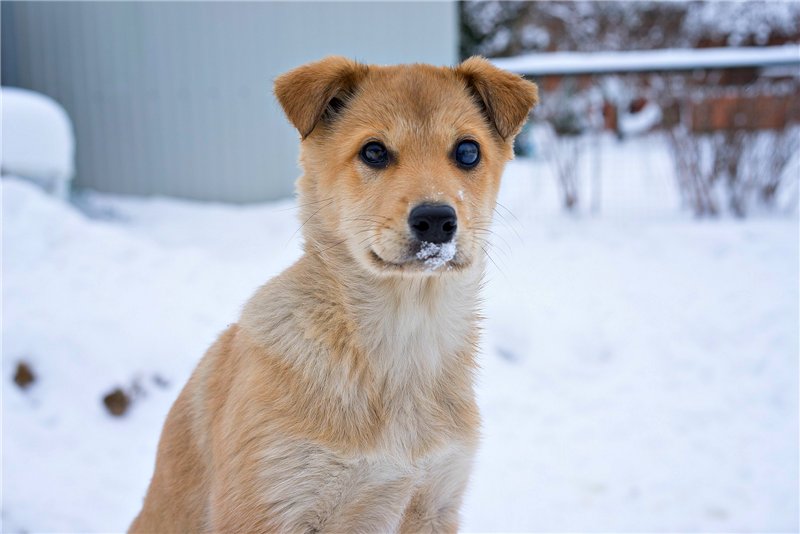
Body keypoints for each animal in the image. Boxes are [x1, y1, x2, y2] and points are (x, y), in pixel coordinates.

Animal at [130, 56, 537, 533]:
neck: (404, 338)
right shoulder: (273, 506)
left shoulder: (434, 502)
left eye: (468, 151)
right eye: (374, 152)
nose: (437, 220)